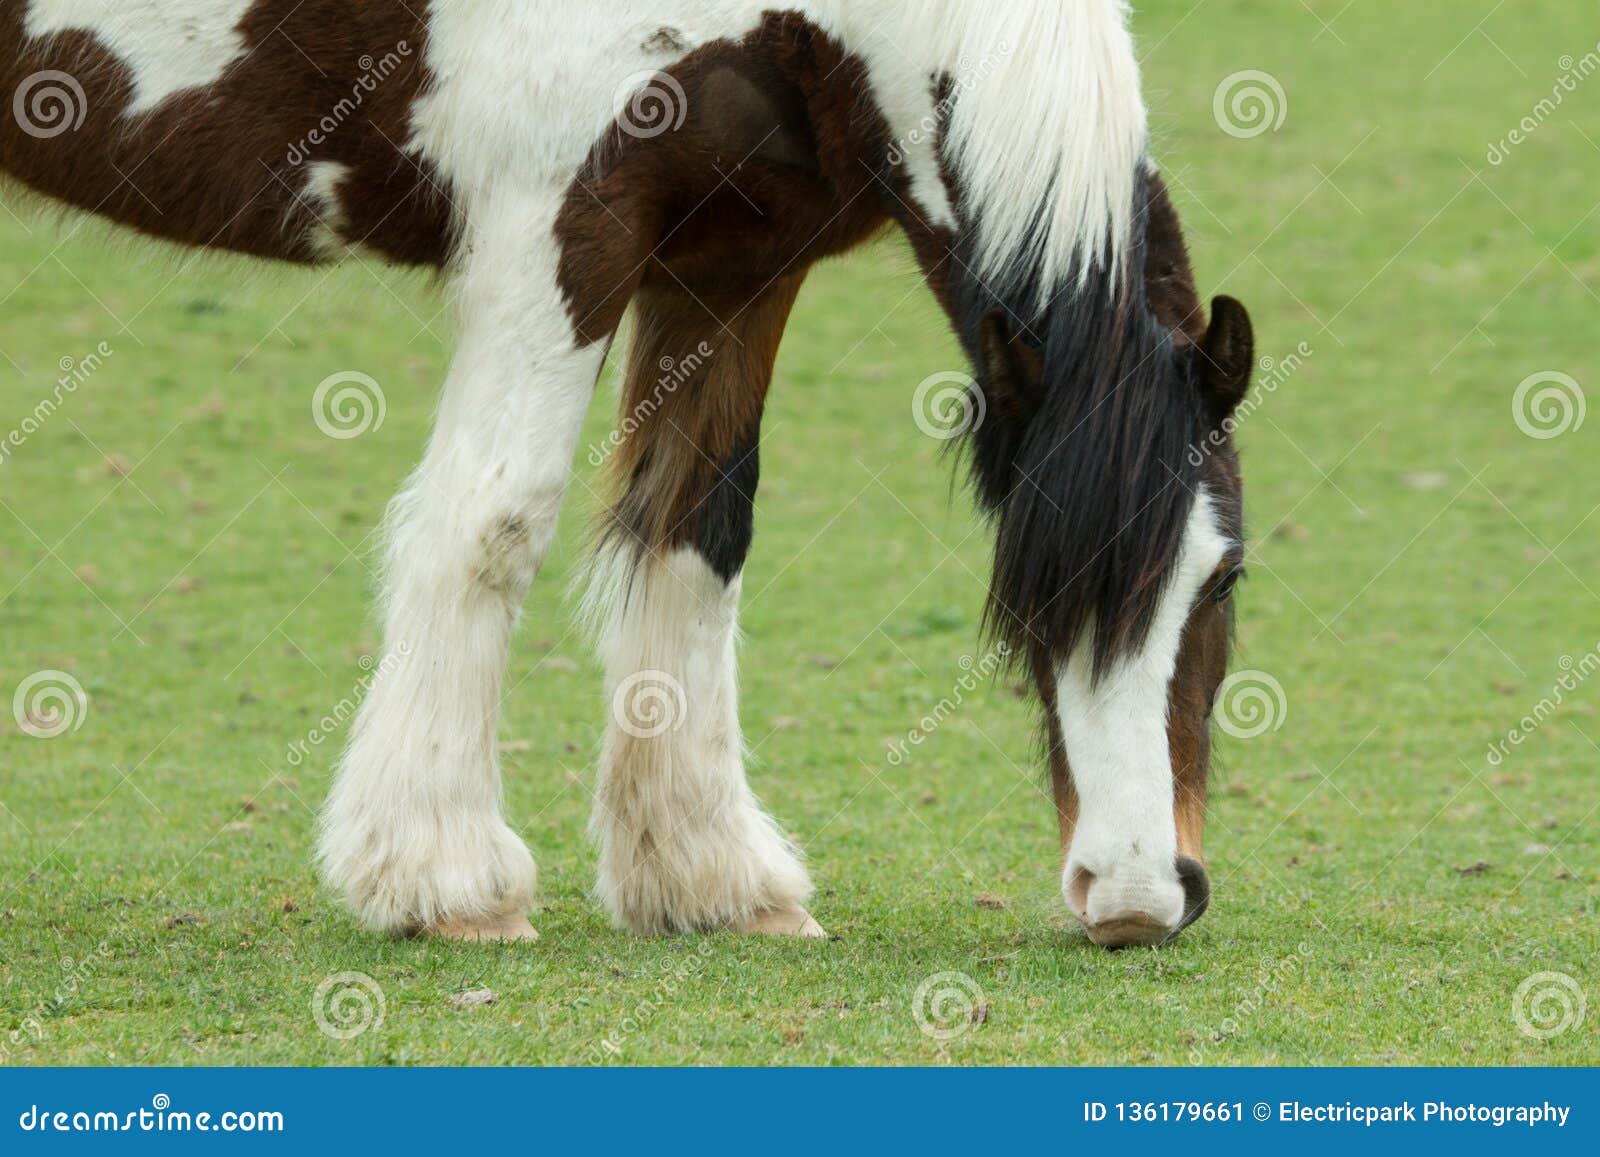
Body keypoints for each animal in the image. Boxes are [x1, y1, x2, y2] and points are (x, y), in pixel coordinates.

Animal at [3, 2, 1248, 947]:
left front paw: (708, 875)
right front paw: (446, 879)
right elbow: (490, 521)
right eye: (1026, 595)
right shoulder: (559, 222)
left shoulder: (737, 253)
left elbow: (700, 524)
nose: (1136, 893)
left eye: (1223, 578)